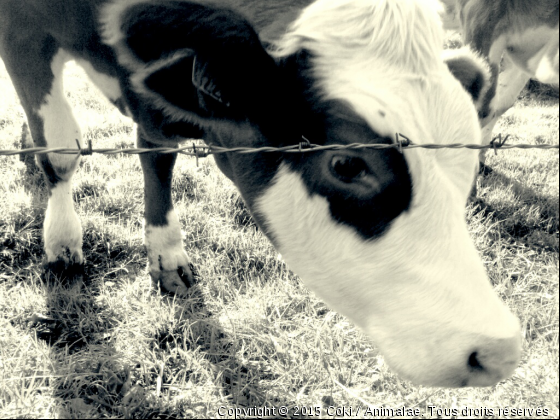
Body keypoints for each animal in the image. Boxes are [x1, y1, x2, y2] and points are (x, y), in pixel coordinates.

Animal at [0, 0, 524, 388]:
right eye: (347, 164)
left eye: (466, 153)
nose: (496, 349)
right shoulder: (24, 27)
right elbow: (62, 149)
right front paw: (62, 240)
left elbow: (158, 151)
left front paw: (166, 254)